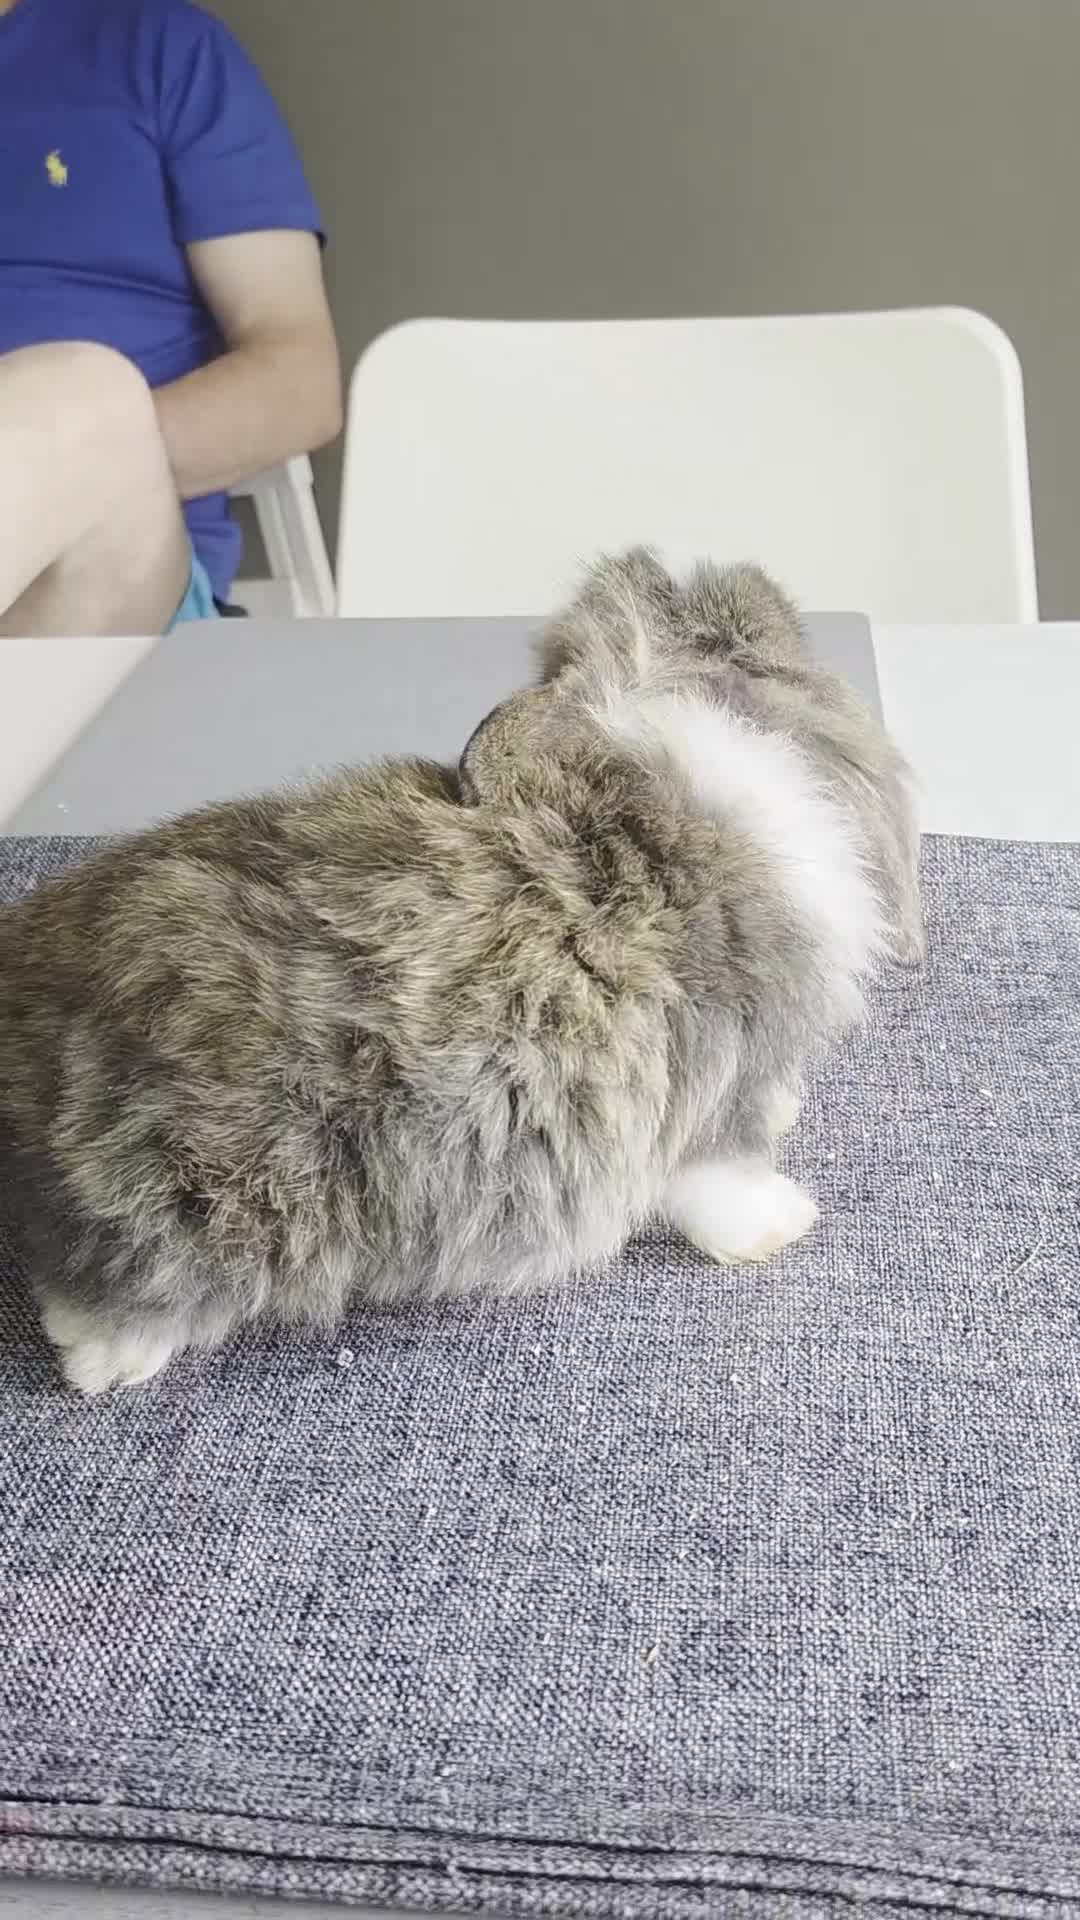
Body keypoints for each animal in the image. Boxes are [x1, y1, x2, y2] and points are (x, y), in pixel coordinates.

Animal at [0, 550, 924, 1395]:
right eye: (746, 639)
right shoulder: (713, 1088)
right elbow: (723, 1179)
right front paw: (783, 1226)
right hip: (197, 1204)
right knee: (96, 1297)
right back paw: (107, 1366)